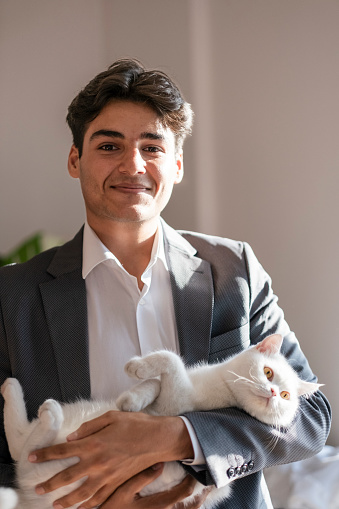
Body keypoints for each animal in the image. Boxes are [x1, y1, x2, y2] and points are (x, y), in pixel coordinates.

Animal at [0, 334, 322, 508]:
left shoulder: (177, 401)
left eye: (286, 396)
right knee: (21, 444)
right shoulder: (170, 393)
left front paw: (137, 369)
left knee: (26, 449)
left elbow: (171, 360)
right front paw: (133, 396)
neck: (220, 389)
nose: (273, 394)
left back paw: (35, 405)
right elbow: (155, 383)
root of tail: (29, 496)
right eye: (268, 372)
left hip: (52, 460)